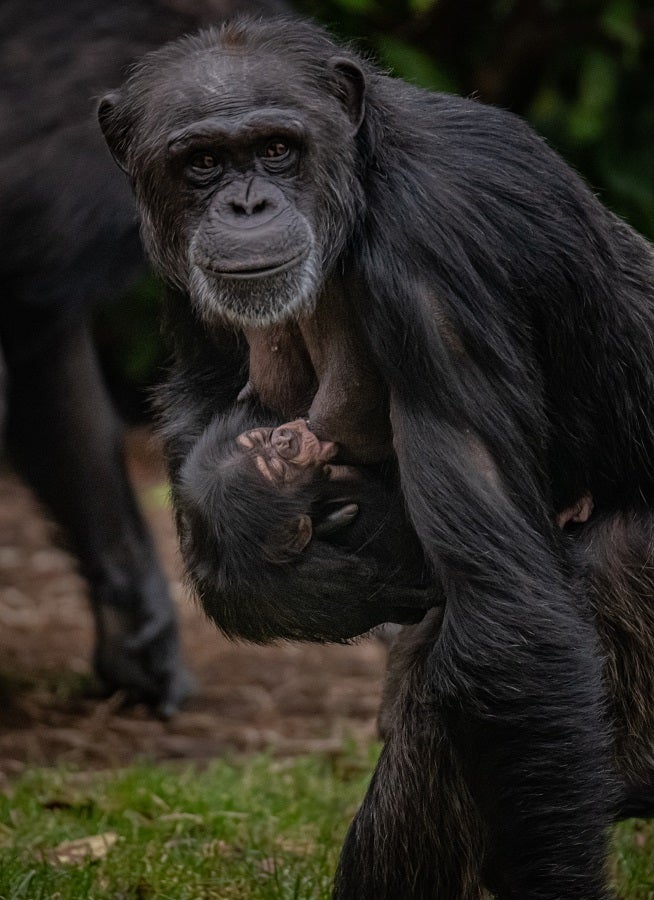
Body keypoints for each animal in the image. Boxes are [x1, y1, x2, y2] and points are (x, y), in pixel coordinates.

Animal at [98, 14, 654, 900]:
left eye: (277, 148)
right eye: (203, 162)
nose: (246, 202)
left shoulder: (434, 262)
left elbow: (512, 623)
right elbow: (200, 401)